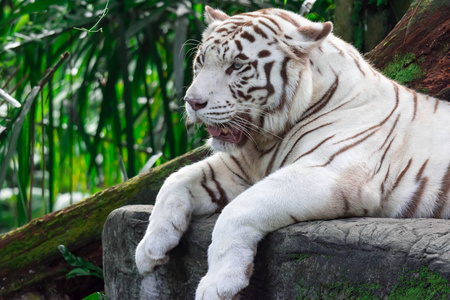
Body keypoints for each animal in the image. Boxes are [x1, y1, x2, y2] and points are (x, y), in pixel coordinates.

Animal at [136, 5, 450, 298]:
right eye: (200, 61)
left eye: (237, 65)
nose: (192, 102)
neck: (264, 142)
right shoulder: (240, 168)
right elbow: (175, 180)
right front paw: (149, 249)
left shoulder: (331, 173)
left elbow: (238, 209)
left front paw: (217, 284)